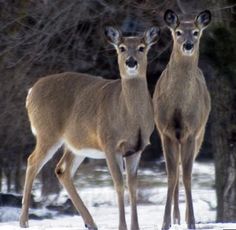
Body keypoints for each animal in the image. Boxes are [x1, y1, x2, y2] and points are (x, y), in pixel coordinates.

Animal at [19, 26, 160, 230]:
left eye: (142, 48)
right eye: (122, 48)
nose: (131, 62)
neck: (130, 117)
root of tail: (30, 93)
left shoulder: (137, 149)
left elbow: (133, 185)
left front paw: (135, 227)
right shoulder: (110, 144)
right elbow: (119, 184)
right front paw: (122, 226)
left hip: (76, 145)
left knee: (62, 170)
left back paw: (90, 222)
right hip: (48, 133)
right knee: (32, 162)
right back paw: (24, 221)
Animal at [153, 9, 212, 230]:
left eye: (196, 32)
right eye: (178, 32)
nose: (188, 45)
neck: (178, 106)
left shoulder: (191, 132)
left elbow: (187, 176)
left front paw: (192, 222)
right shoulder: (166, 132)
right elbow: (171, 176)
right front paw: (165, 222)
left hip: (201, 133)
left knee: (185, 171)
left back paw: (183, 216)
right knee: (176, 172)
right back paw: (176, 217)